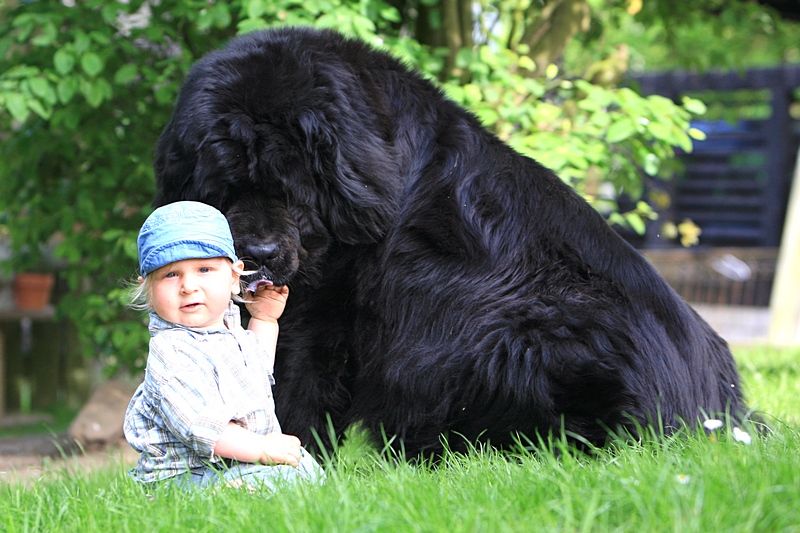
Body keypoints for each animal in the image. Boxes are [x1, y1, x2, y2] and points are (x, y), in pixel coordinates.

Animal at [153, 27, 748, 456]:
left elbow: (298, 378)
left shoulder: (331, 307)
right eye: (224, 188)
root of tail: (715, 411)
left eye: (291, 188)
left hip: (534, 325)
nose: (258, 254)